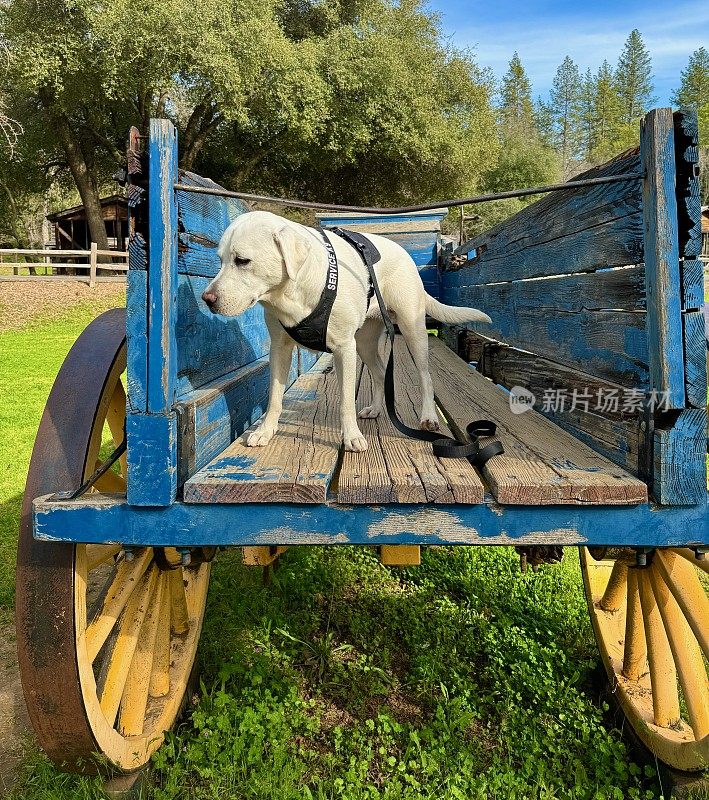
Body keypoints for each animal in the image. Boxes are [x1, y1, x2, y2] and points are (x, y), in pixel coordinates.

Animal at [202, 211, 490, 450]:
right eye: (220, 260)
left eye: (242, 260)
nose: (207, 299)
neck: (294, 292)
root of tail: (405, 254)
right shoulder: (280, 349)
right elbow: (274, 396)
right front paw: (265, 431)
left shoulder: (344, 348)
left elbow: (346, 401)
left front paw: (351, 436)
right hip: (364, 342)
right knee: (380, 372)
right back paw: (375, 408)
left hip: (412, 330)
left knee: (425, 376)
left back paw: (428, 416)